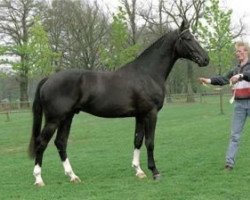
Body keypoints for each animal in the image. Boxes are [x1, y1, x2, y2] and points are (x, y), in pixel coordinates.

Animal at [28, 20, 209, 186]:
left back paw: (72, 176)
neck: (147, 73)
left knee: (60, 143)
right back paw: (38, 179)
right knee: (41, 142)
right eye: (187, 38)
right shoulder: (151, 114)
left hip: (67, 118)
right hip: (54, 120)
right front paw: (155, 172)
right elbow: (150, 142)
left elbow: (138, 140)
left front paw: (139, 171)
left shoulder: (140, 115)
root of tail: (49, 78)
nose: (206, 59)